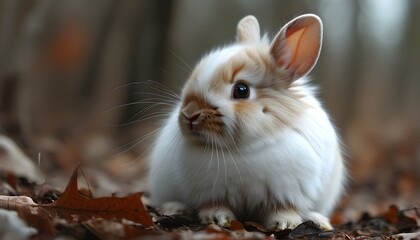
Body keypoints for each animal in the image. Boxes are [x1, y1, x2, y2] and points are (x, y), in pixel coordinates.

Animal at [149, 13, 346, 231]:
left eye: (241, 90)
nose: (189, 114)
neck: (244, 149)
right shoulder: (210, 192)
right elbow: (214, 205)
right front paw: (217, 218)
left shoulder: (288, 191)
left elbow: (284, 208)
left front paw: (285, 223)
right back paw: (174, 208)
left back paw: (320, 221)